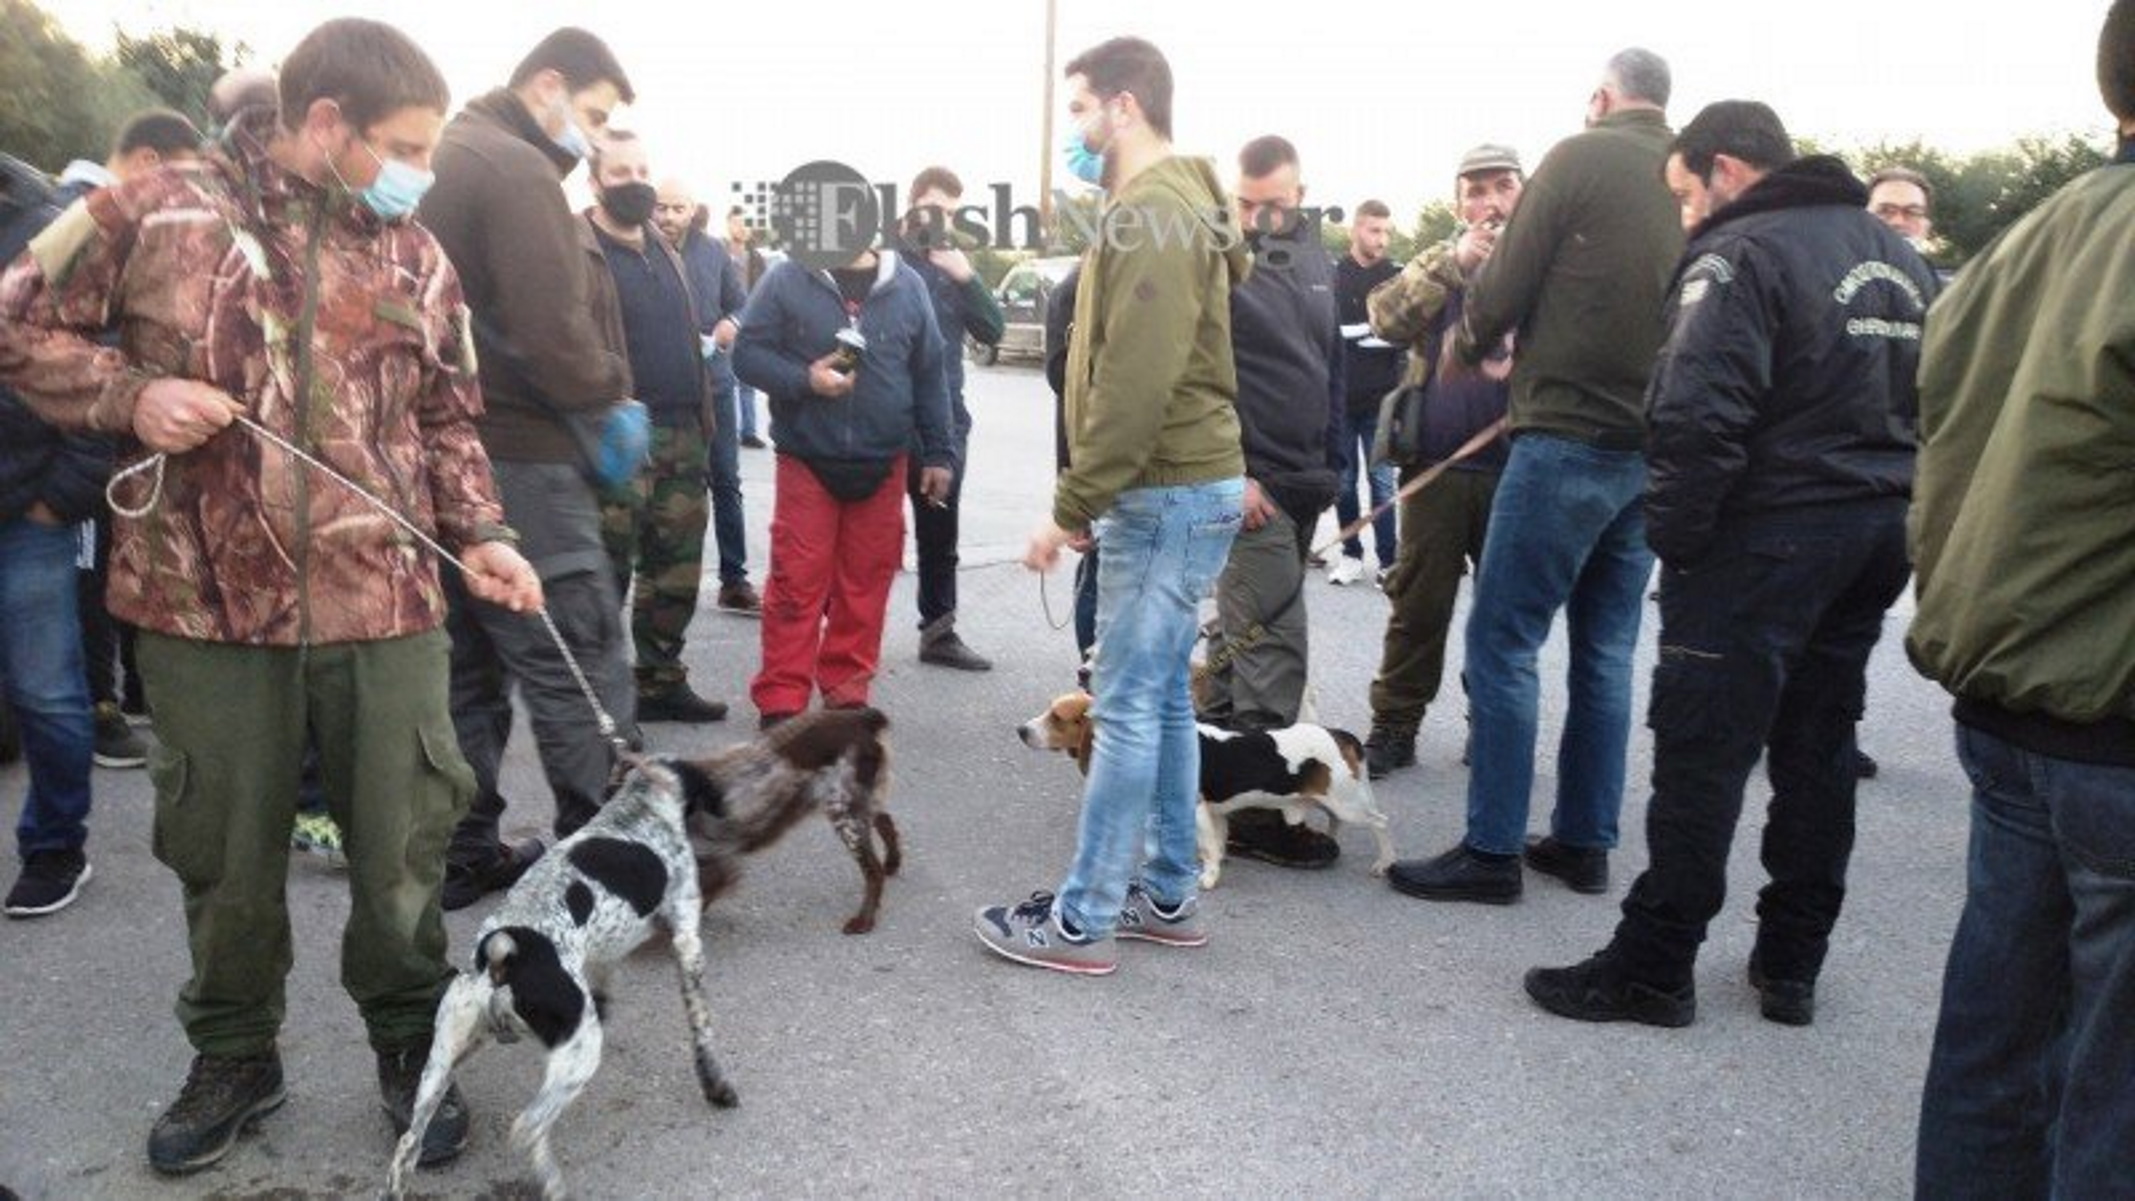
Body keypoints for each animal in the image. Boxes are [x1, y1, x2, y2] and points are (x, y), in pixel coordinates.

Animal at [384, 708, 892, 1194]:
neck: (641, 807)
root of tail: (505, 954)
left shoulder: (605, 950)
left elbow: (607, 974)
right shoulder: (688, 941)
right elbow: (702, 1032)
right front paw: (716, 1086)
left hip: (443, 1060)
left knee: (408, 1145)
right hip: (577, 1054)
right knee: (526, 1127)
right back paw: (550, 1182)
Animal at [1020, 691, 1400, 887]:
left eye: (1057, 717)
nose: (1021, 730)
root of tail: (1339, 734)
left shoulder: (1196, 808)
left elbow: (1207, 848)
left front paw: (1206, 878)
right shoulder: (1214, 813)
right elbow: (1215, 843)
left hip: (1346, 801)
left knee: (1381, 822)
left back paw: (1385, 862)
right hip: (1328, 800)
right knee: (1338, 821)